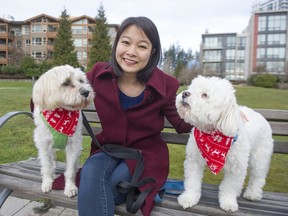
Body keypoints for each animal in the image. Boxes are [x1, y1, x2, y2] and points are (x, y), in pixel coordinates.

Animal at [32, 64, 94, 197]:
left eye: (81, 81)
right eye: (66, 83)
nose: (86, 92)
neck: (62, 112)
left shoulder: (73, 145)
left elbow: (70, 169)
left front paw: (70, 187)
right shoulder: (44, 144)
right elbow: (47, 165)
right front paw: (47, 182)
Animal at [177, 76, 274, 213]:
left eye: (205, 95)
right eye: (191, 89)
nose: (185, 93)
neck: (213, 133)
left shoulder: (236, 167)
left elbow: (229, 186)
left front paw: (228, 202)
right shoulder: (194, 161)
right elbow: (192, 181)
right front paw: (189, 198)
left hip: (260, 157)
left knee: (257, 177)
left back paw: (253, 194)